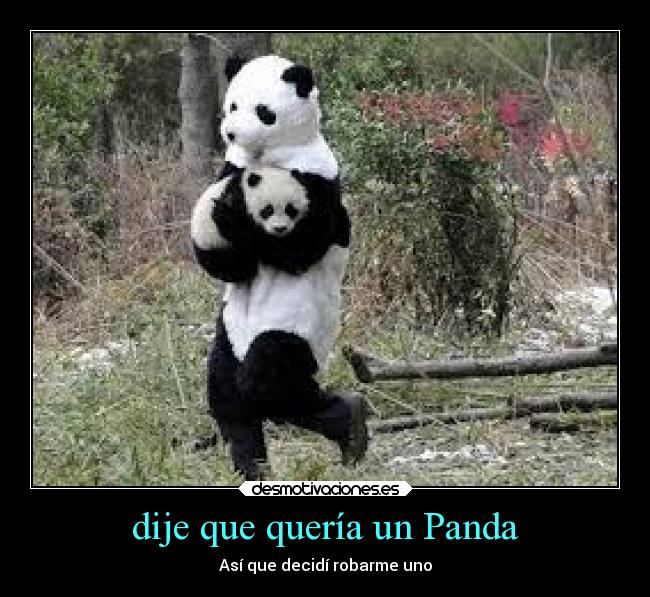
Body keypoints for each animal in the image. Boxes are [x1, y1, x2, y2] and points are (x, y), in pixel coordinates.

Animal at [191, 165, 367, 481]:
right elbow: (234, 268)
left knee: (263, 380)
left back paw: (348, 420)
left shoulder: (320, 209)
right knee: (228, 394)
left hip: (294, 330)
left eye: (291, 209)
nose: (280, 229)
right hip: (229, 334)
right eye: (268, 210)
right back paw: (253, 468)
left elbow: (297, 254)